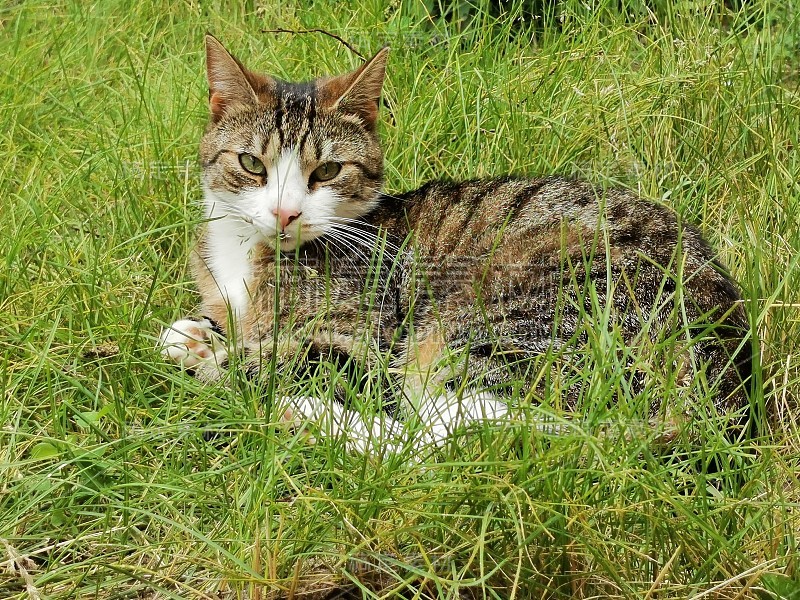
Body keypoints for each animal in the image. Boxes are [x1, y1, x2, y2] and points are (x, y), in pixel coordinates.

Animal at [159, 34, 752, 450]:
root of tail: (723, 399)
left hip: (501, 320)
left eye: (326, 170)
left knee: (430, 443)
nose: (285, 212)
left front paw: (214, 358)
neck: (247, 253)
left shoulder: (358, 339)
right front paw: (199, 333)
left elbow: (271, 361)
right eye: (251, 163)